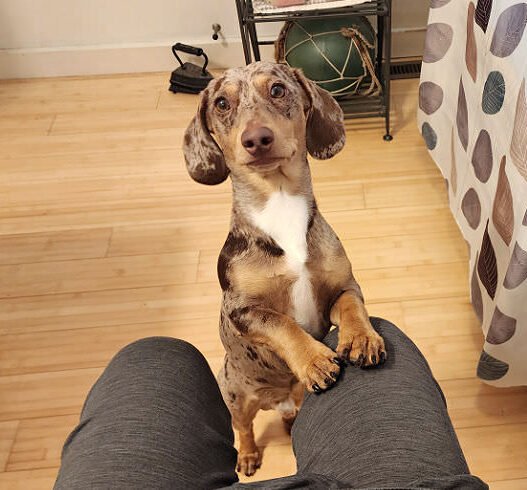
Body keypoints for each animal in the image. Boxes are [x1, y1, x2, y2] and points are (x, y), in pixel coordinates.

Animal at [183, 61, 386, 476]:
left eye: (277, 90)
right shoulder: (243, 311)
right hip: (236, 398)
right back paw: (247, 457)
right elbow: (283, 324)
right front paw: (315, 360)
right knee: (243, 428)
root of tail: (278, 400)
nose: (257, 139)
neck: (279, 203)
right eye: (222, 103)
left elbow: (352, 307)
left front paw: (360, 339)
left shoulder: (343, 286)